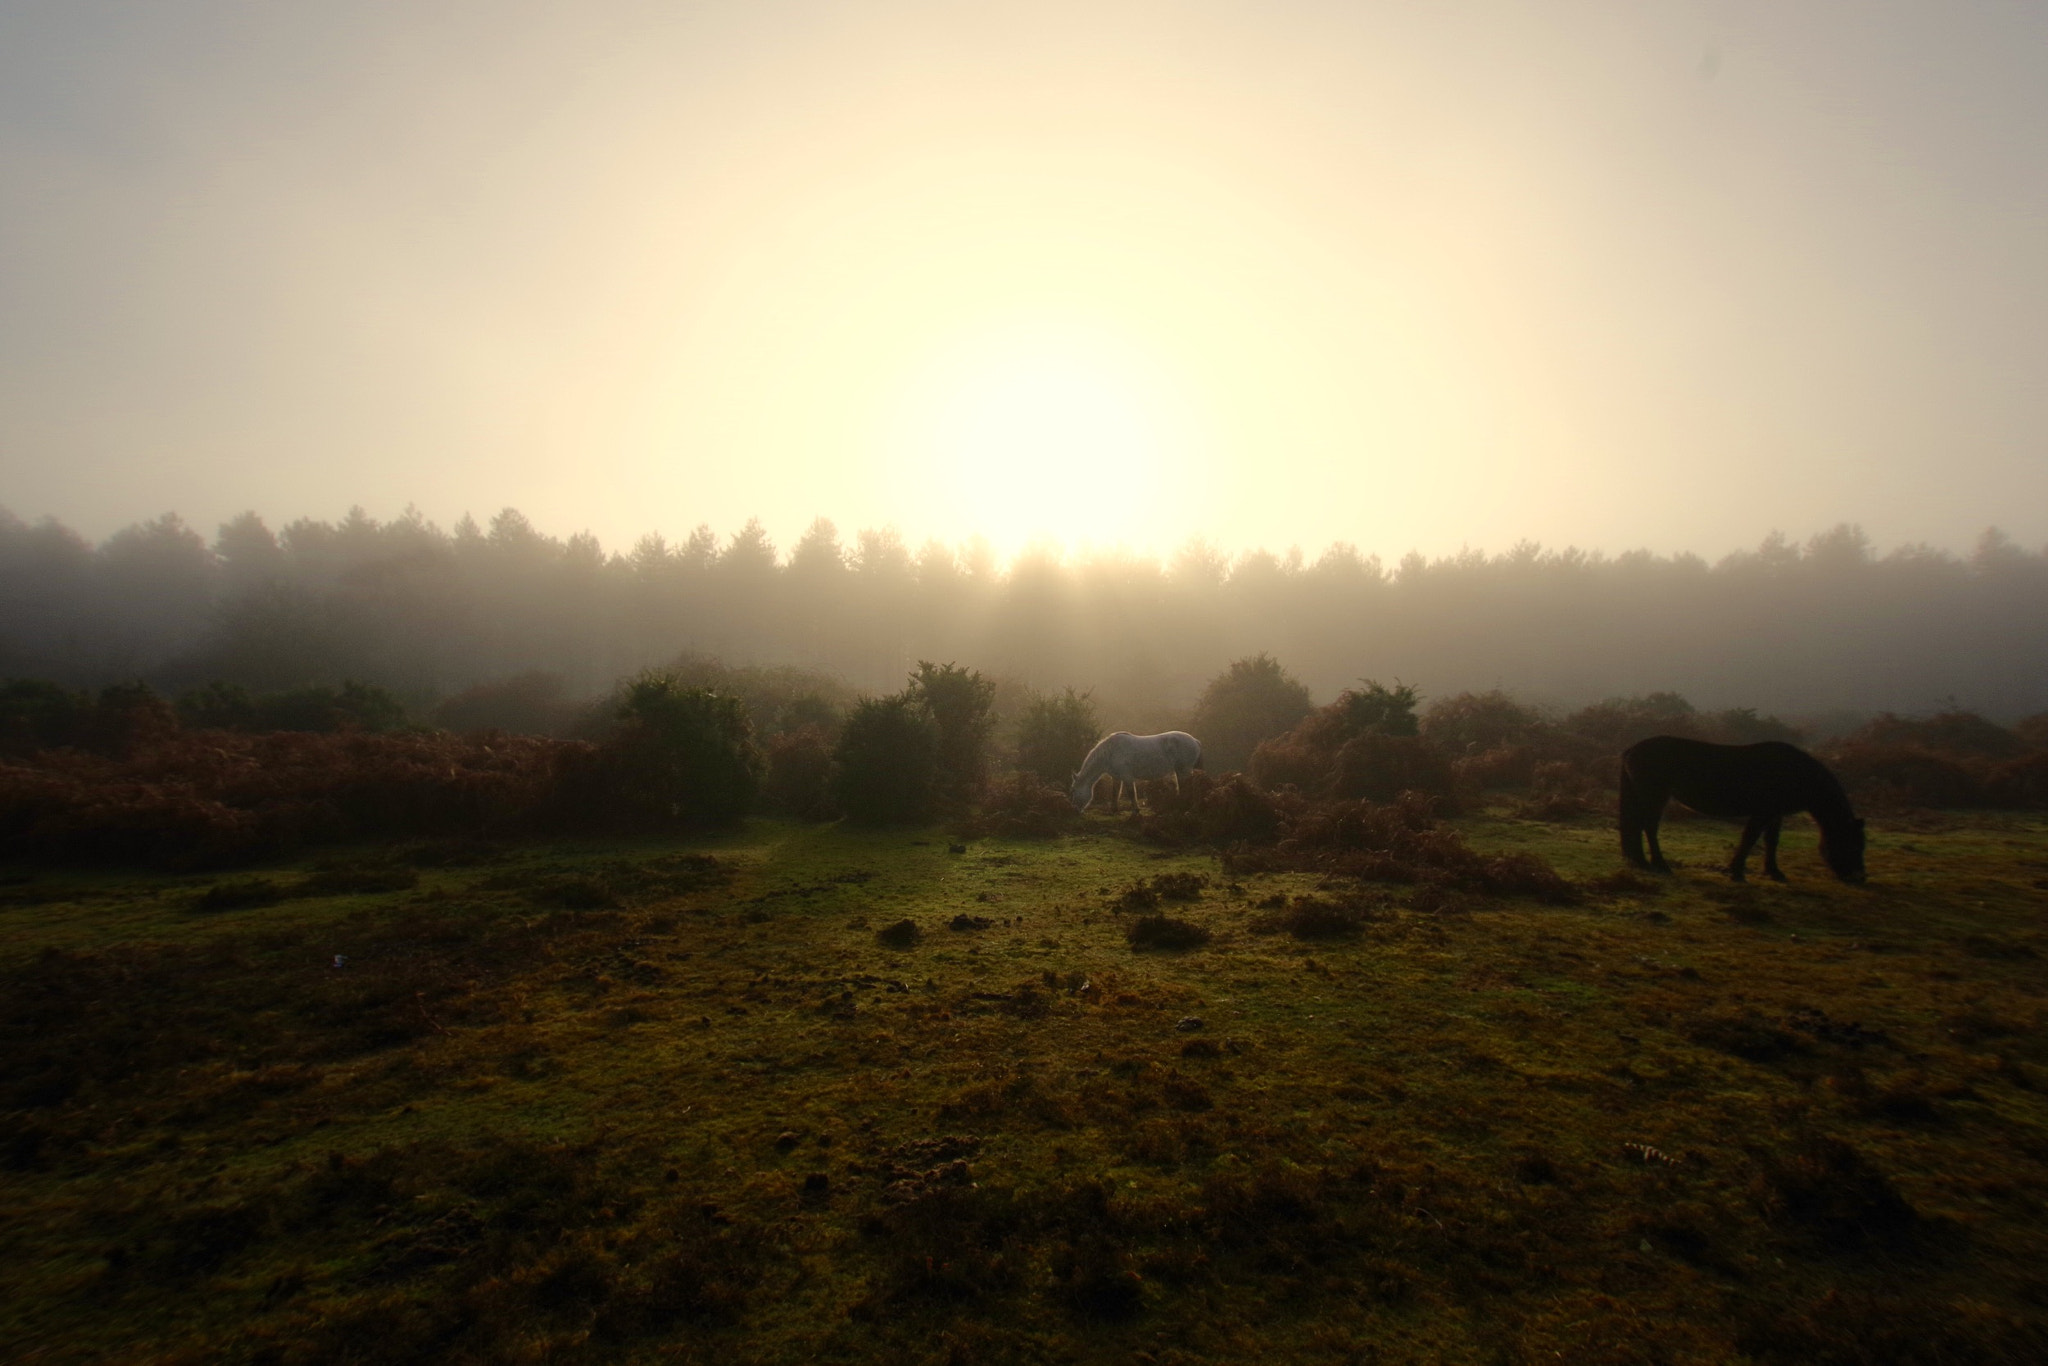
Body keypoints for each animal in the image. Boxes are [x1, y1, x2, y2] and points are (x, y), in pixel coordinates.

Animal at [1622, 737, 1867, 888]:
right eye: (1853, 845)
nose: (1859, 878)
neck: (1796, 772)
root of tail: (1632, 749)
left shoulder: (1775, 814)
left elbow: (1771, 841)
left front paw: (1774, 871)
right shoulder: (1763, 813)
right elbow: (1750, 838)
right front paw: (1737, 871)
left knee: (1637, 826)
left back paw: (1640, 860)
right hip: (1655, 796)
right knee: (1648, 826)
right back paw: (1659, 864)